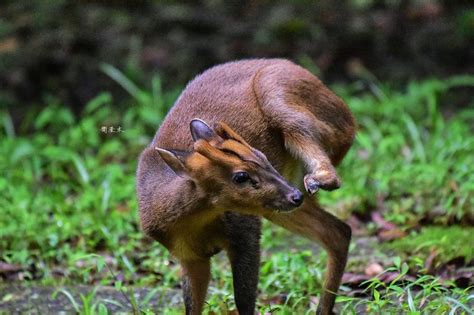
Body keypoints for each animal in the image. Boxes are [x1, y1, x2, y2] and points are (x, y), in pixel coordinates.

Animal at [137, 58, 356, 314]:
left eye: (263, 156)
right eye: (240, 177)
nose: (294, 196)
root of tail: (349, 118)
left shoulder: (244, 231)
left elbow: (243, 299)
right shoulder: (189, 256)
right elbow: (191, 306)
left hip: (277, 95)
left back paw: (319, 178)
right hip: (278, 206)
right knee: (339, 232)